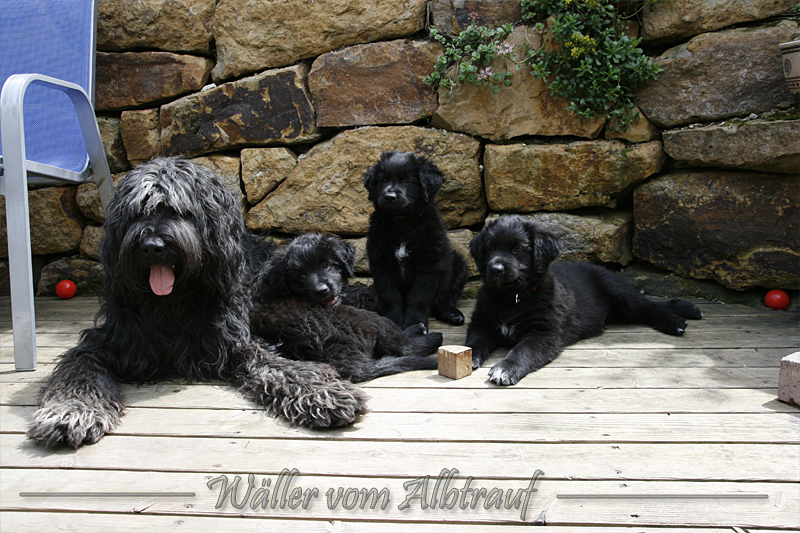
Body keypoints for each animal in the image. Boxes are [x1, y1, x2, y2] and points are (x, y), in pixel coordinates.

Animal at [27, 158, 367, 448]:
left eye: (178, 210)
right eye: (138, 211)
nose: (151, 246)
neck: (172, 304)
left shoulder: (236, 340)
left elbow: (281, 367)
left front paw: (323, 393)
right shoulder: (105, 342)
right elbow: (78, 371)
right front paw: (70, 411)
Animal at [251, 233, 442, 383]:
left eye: (325, 265)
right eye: (301, 276)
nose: (322, 290)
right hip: (363, 318)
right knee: (401, 345)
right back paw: (428, 335)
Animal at [363, 151, 468, 330]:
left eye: (407, 181)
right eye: (383, 180)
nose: (389, 196)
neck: (403, 221)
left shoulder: (428, 263)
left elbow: (420, 297)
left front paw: (415, 323)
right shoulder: (381, 261)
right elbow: (390, 295)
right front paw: (393, 321)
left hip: (459, 264)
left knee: (443, 299)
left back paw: (452, 314)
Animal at [466, 215, 703, 386]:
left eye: (517, 249)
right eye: (490, 248)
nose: (496, 269)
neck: (511, 299)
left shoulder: (544, 333)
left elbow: (523, 350)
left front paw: (505, 368)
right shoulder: (482, 321)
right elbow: (475, 340)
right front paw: (468, 357)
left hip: (618, 291)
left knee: (648, 306)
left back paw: (673, 321)